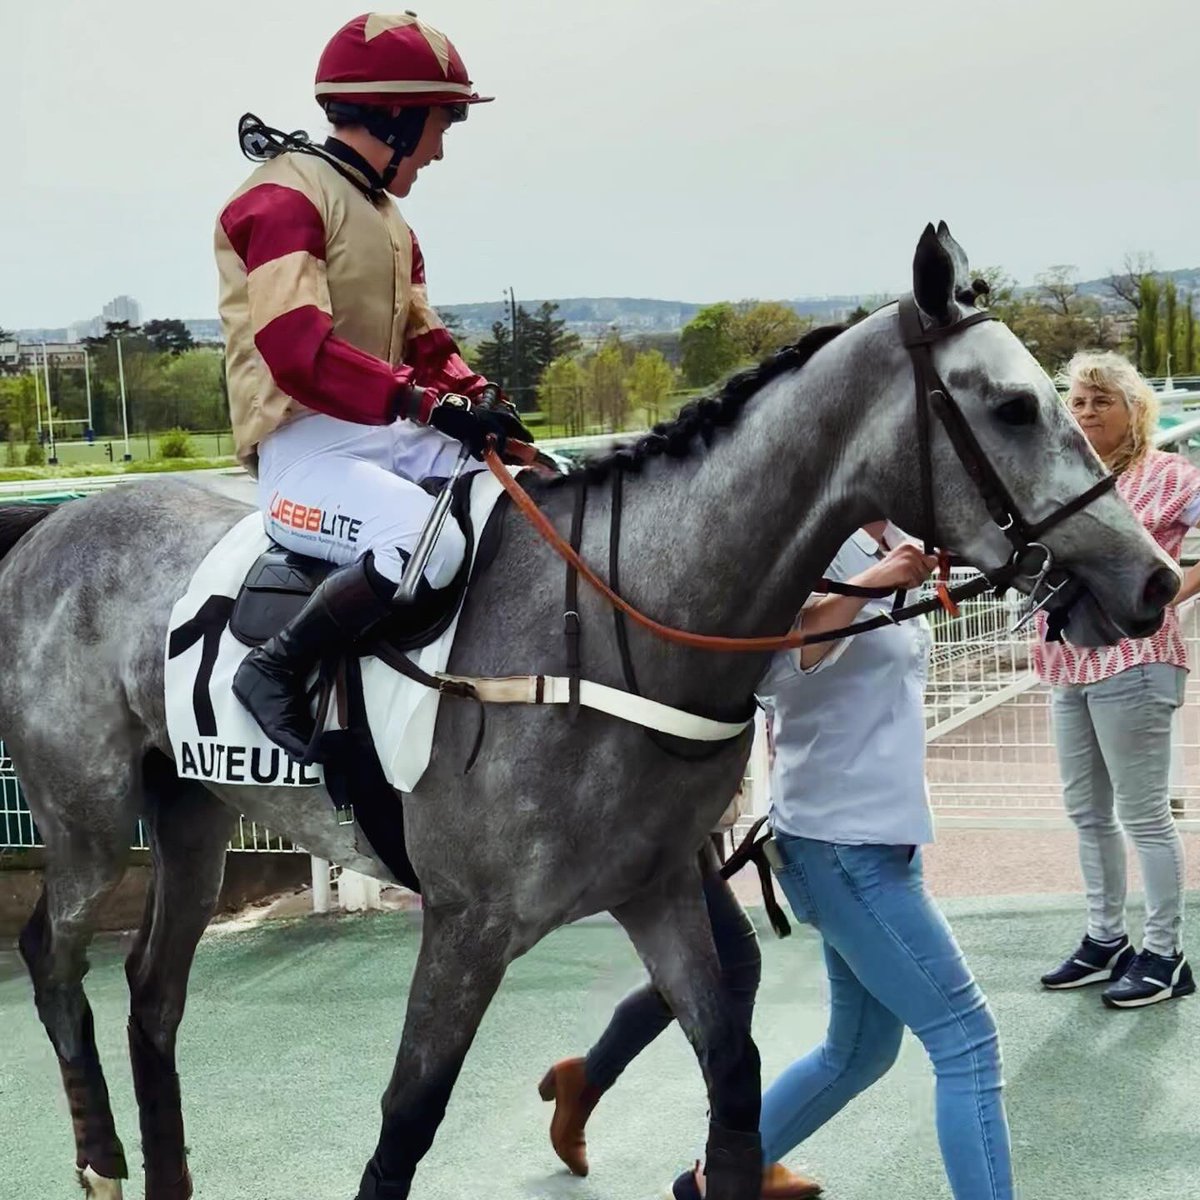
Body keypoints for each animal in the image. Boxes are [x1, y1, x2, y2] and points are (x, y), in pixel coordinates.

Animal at [0, 226, 1180, 1200]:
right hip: (89, 817)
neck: (612, 623)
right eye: (1015, 405)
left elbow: (735, 1083)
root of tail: (44, 535)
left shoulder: (658, 890)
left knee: (153, 992)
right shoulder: (466, 922)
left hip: (192, 810)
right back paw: (100, 1161)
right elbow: (404, 1123)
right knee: (54, 954)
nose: (1155, 581)